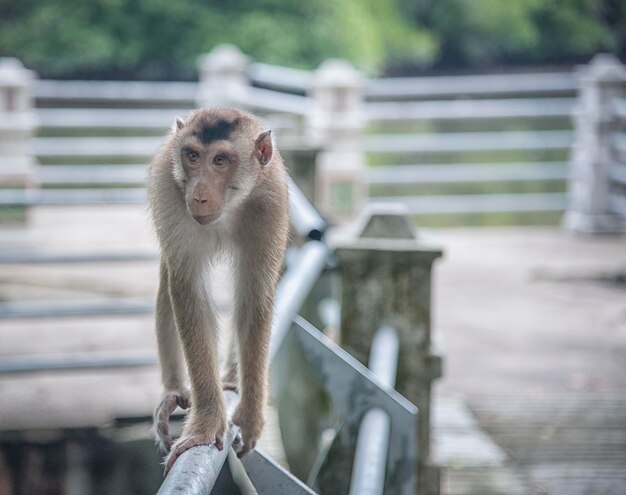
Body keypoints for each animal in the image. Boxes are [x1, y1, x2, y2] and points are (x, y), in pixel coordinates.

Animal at [147, 106, 288, 474]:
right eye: (193, 156)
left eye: (222, 160)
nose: (198, 194)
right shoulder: (168, 192)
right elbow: (186, 289)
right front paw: (207, 422)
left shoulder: (270, 204)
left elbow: (255, 296)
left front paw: (250, 415)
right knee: (168, 277)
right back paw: (175, 390)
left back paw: (233, 377)